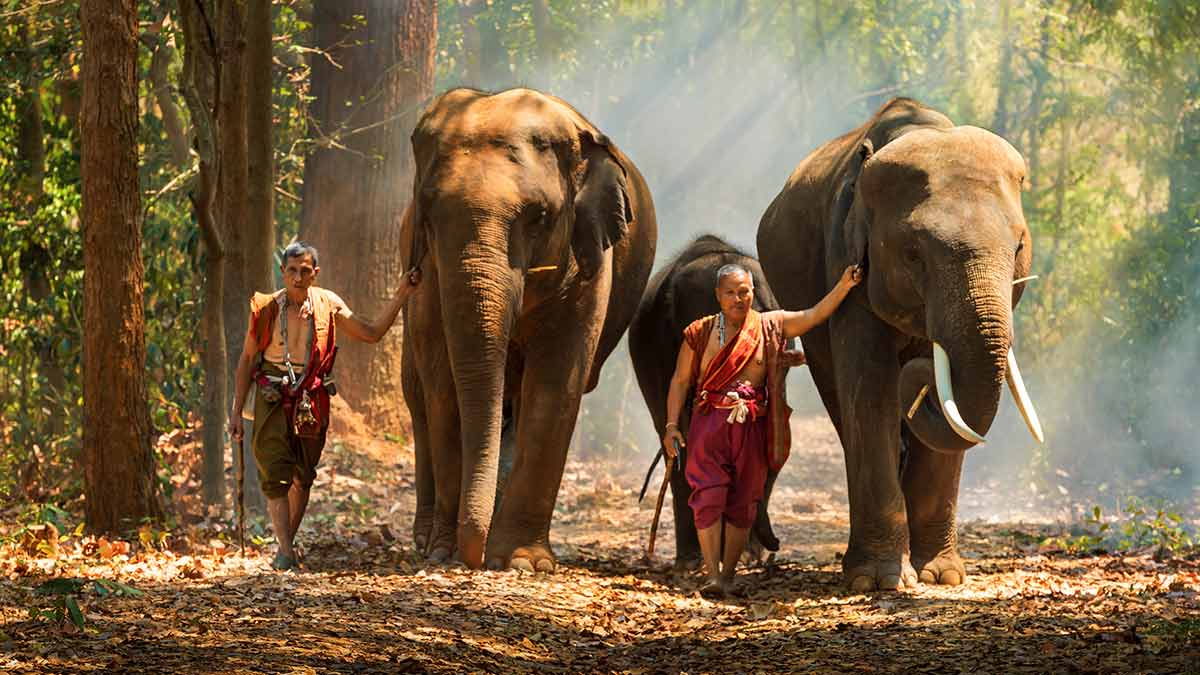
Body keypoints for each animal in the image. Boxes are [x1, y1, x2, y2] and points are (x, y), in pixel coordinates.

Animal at [405, 86, 667, 569]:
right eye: (427, 214)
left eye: (539, 217)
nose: (470, 556)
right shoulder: (425, 272)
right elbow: (442, 381)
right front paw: (444, 552)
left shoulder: (589, 262)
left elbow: (556, 381)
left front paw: (521, 562)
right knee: (418, 394)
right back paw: (425, 538)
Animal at [753, 96, 1046, 588]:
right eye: (912, 254)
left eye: (1020, 246)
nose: (919, 376)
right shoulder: (847, 267)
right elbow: (871, 390)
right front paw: (879, 581)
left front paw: (942, 577)